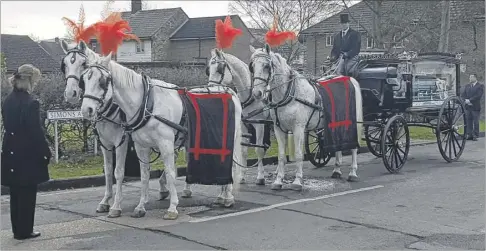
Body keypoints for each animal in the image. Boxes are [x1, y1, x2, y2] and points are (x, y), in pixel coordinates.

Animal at [81, 53, 245, 220]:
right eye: (84, 80)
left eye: (102, 81)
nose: (86, 110)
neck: (148, 103)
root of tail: (228, 90)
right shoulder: (139, 146)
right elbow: (142, 175)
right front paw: (140, 206)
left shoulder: (161, 144)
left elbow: (170, 173)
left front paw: (172, 208)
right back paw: (221, 195)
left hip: (229, 138)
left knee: (231, 164)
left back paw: (227, 197)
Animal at [206, 48, 274, 184]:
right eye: (208, 70)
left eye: (220, 69)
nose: (210, 90)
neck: (249, 95)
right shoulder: (244, 124)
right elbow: (243, 150)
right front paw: (242, 176)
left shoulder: (260, 124)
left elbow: (259, 149)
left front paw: (260, 177)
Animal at [251, 44, 360, 190]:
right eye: (252, 66)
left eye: (266, 66)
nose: (257, 93)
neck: (290, 93)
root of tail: (350, 79)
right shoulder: (279, 129)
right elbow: (281, 156)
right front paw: (278, 181)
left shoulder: (298, 128)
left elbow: (298, 154)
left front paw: (297, 181)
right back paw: (337, 170)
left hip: (353, 122)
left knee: (353, 147)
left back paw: (353, 173)